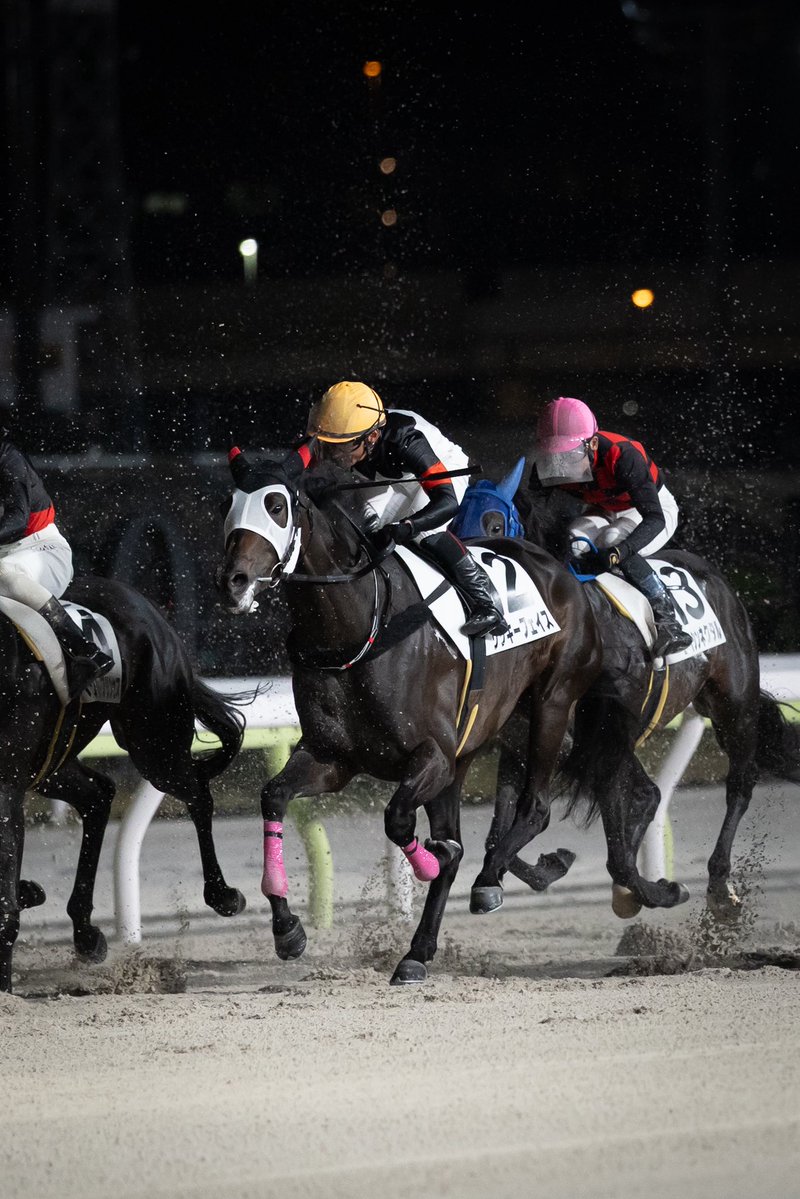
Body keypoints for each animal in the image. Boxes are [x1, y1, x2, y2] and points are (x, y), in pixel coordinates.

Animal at [1, 575, 248, 994]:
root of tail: (148, 608)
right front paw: (29, 891)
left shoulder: (7, 790)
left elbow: (5, 908)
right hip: (54, 764)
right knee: (98, 794)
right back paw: (84, 931)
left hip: (155, 744)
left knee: (197, 794)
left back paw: (223, 894)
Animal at [216, 450, 603, 983]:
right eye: (227, 505)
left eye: (276, 505)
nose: (234, 583)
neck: (359, 628)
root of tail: (557, 567)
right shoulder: (333, 758)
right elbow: (273, 797)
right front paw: (287, 929)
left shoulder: (432, 756)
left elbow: (399, 820)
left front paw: (429, 862)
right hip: (467, 756)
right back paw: (416, 952)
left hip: (551, 703)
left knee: (535, 806)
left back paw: (488, 880)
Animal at [454, 475, 800, 921]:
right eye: (454, 519)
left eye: (496, 527)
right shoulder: (528, 740)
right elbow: (500, 834)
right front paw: (552, 866)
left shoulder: (603, 736)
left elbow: (619, 832)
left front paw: (659, 890)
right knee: (650, 794)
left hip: (733, 703)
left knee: (739, 782)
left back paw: (720, 887)